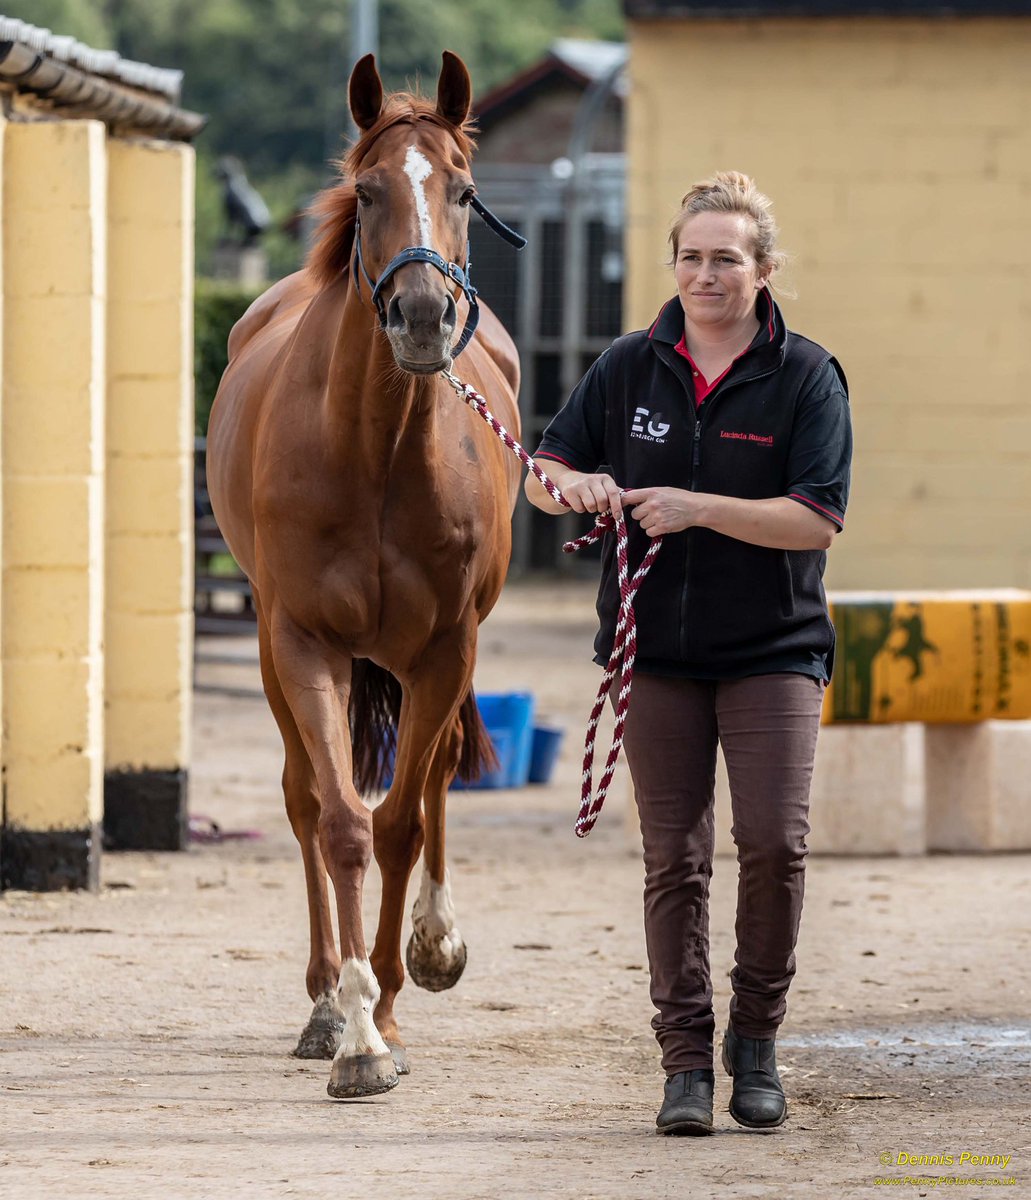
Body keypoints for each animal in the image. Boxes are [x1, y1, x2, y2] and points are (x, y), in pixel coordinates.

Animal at [205, 51, 522, 1098]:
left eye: (462, 190)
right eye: (370, 190)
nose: (421, 317)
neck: (377, 449)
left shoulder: (442, 650)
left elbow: (397, 827)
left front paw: (387, 999)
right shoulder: (305, 641)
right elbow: (341, 821)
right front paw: (353, 1032)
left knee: (434, 780)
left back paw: (430, 945)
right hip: (293, 657)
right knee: (307, 800)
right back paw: (319, 1001)